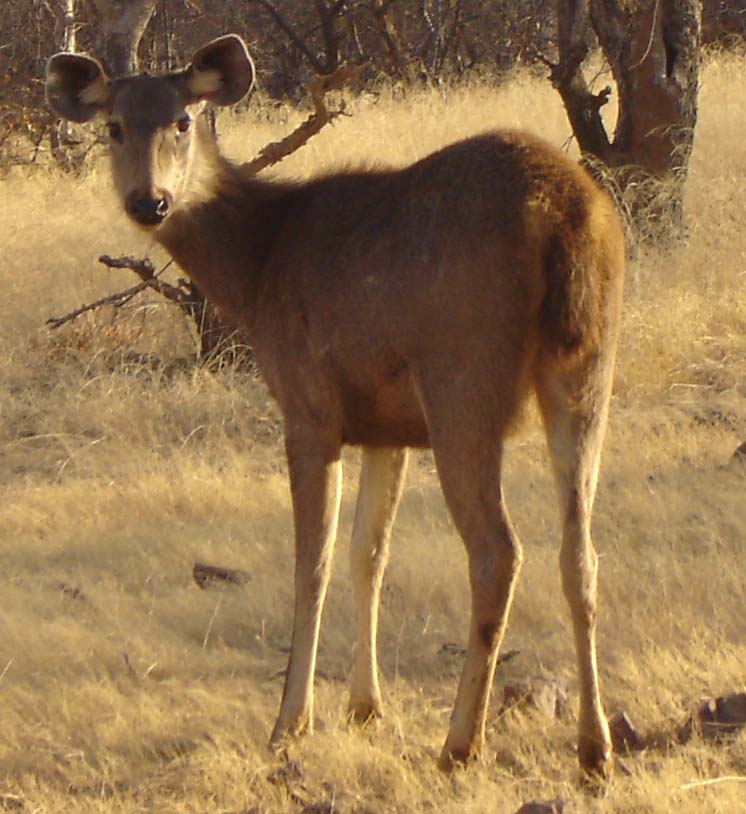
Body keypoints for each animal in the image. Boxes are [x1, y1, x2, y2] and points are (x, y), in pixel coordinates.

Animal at [46, 35, 624, 780]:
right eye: (114, 126)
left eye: (183, 119)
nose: (150, 200)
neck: (258, 265)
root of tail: (567, 216)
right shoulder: (387, 426)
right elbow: (368, 553)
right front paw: (364, 706)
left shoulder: (309, 406)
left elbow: (311, 561)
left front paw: (291, 721)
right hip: (588, 372)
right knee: (580, 552)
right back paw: (594, 746)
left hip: (463, 378)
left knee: (499, 551)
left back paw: (460, 743)